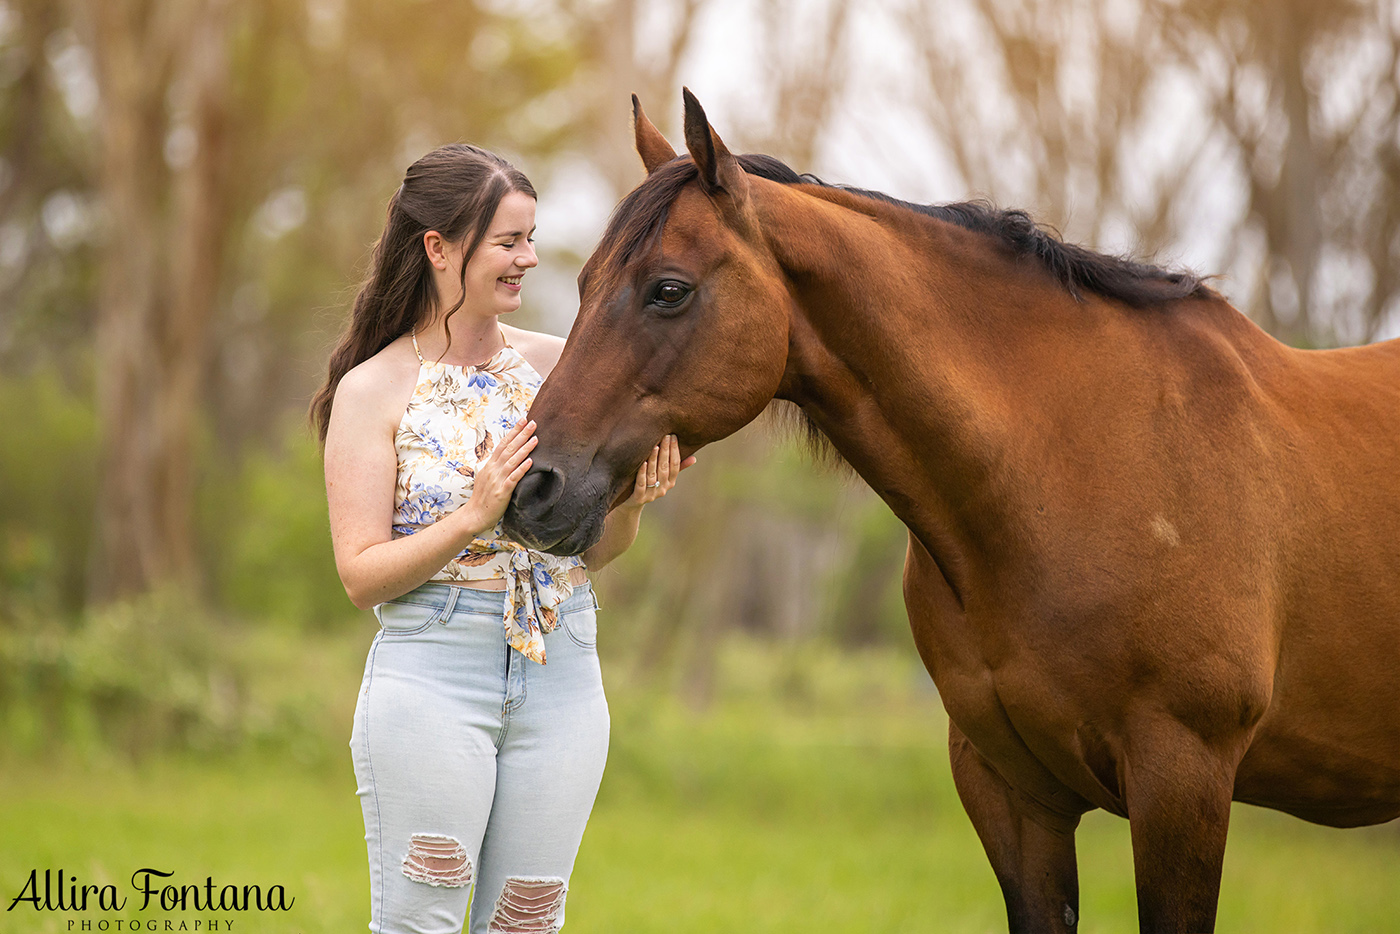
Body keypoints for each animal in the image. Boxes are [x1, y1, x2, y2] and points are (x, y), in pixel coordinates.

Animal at [504, 89, 1400, 934]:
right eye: (580, 284)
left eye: (669, 290)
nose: (532, 488)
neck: (1075, 467)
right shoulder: (1009, 789)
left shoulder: (1184, 778)